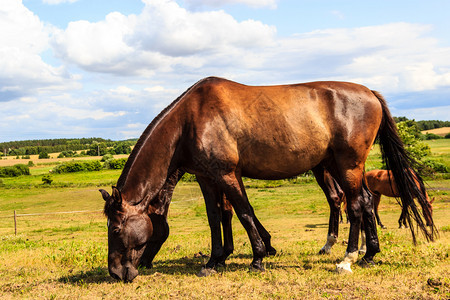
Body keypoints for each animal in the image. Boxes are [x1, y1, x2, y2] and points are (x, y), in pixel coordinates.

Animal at [99, 77, 436, 282]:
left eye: (115, 228)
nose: (116, 272)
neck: (190, 120)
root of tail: (370, 94)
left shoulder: (228, 175)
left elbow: (244, 213)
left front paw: (258, 258)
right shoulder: (207, 178)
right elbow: (216, 217)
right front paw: (214, 261)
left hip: (348, 166)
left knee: (355, 205)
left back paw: (348, 259)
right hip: (345, 168)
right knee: (363, 203)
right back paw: (369, 254)